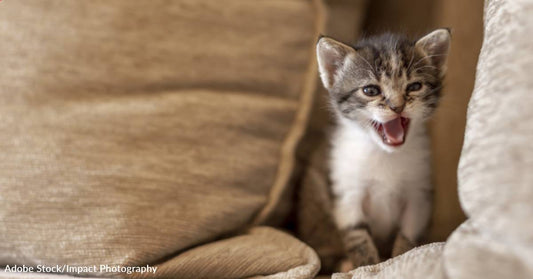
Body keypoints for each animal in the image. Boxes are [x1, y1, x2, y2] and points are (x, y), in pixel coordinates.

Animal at [316, 29, 448, 270]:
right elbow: (357, 235)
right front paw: (365, 266)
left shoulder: (419, 192)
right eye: (370, 90)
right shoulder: (346, 192)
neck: (384, 154)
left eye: (414, 86)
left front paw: (398, 258)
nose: (397, 107)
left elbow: (408, 235)